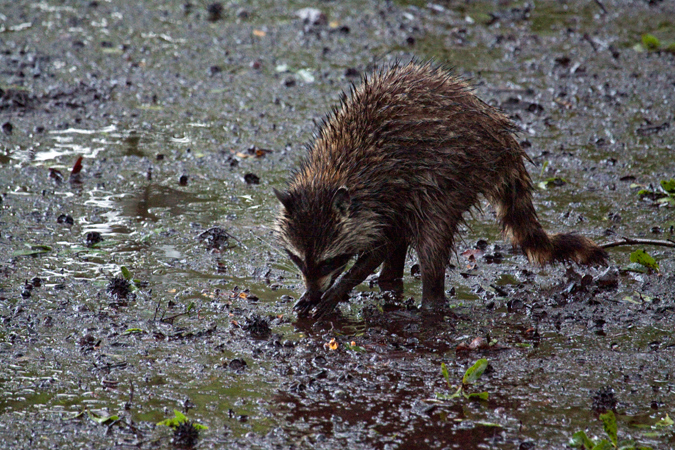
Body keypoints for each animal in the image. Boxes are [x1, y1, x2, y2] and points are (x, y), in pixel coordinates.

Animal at [272, 61, 608, 318]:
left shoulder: (380, 195)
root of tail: (500, 134)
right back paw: (389, 281)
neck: (331, 174)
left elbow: (380, 245)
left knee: (431, 235)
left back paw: (430, 304)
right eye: (298, 259)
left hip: (455, 174)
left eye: (328, 261)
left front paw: (337, 290)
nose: (313, 292)